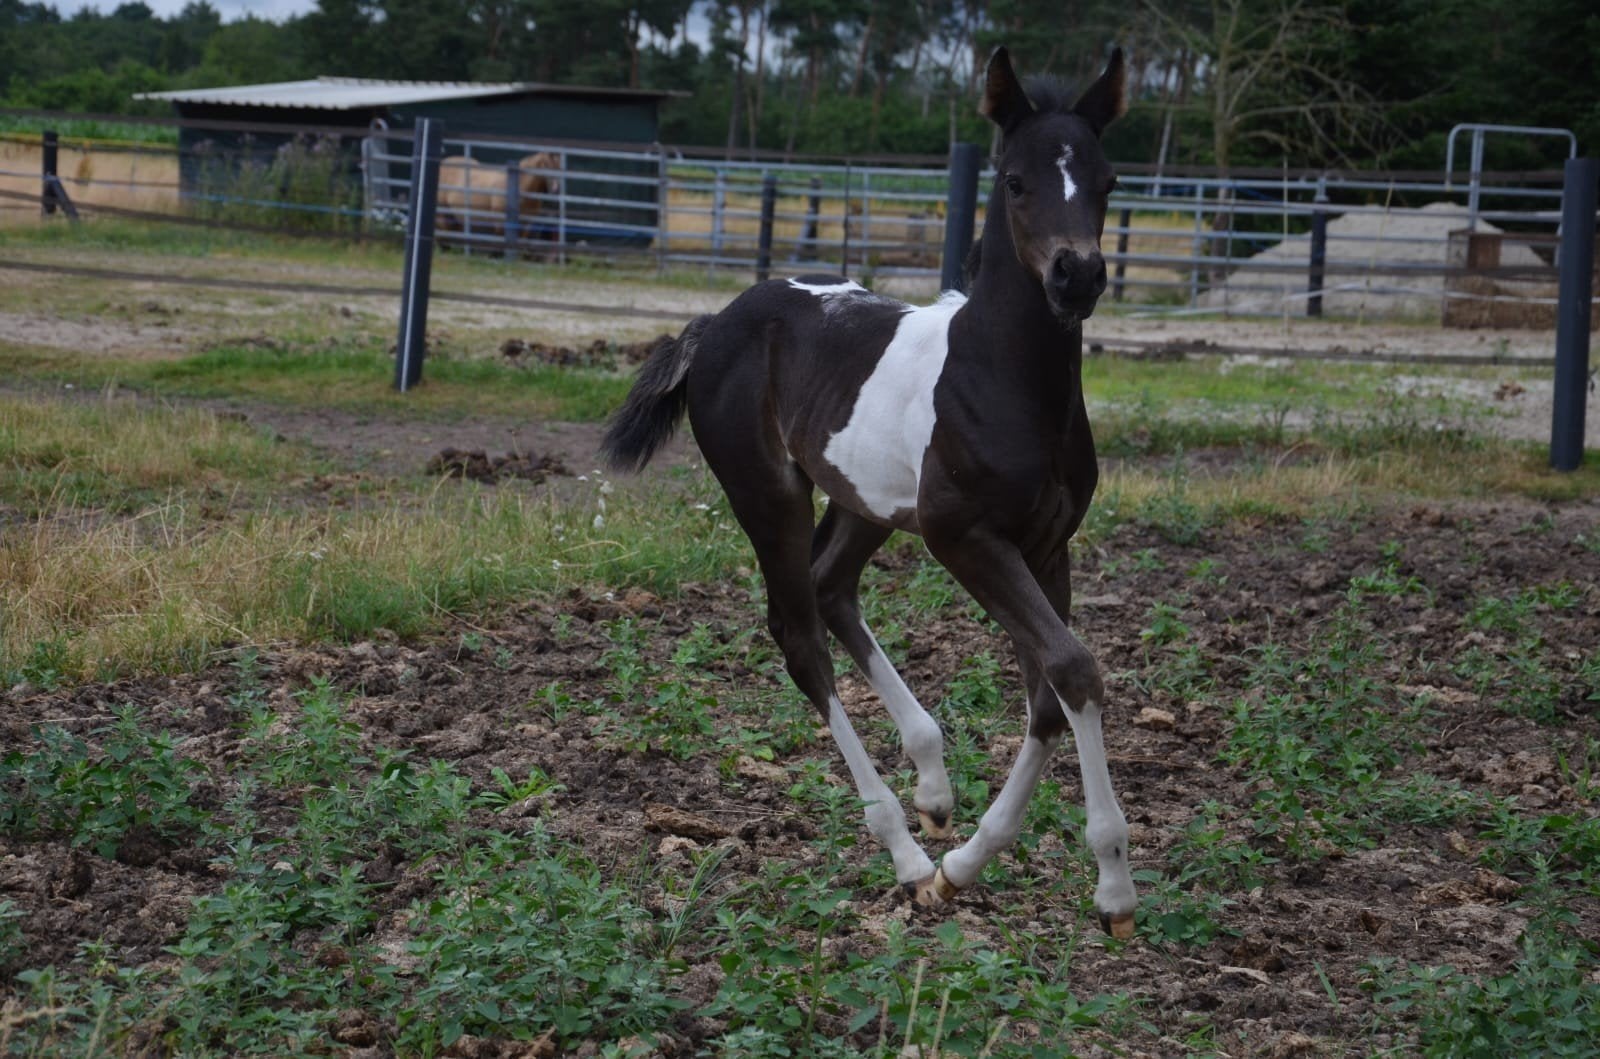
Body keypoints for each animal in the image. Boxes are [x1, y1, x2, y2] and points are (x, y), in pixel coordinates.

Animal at [601, 46, 1137, 938]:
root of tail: (715, 323)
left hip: (863, 501)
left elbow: (1049, 691)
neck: (1007, 381)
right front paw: (1111, 884)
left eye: (1106, 179)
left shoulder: (1049, 541)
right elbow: (1072, 665)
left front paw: (968, 864)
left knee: (831, 588)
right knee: (799, 635)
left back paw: (933, 786)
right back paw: (905, 849)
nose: (1078, 275)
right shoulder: (965, 537)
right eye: (1016, 180)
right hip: (768, 494)